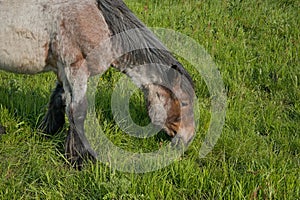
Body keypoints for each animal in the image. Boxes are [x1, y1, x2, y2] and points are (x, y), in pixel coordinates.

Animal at [0, 0, 196, 167]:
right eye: (184, 103)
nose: (188, 139)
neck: (98, 19)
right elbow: (77, 112)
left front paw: (47, 131)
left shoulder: (62, 71)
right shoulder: (75, 69)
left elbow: (58, 99)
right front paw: (79, 159)